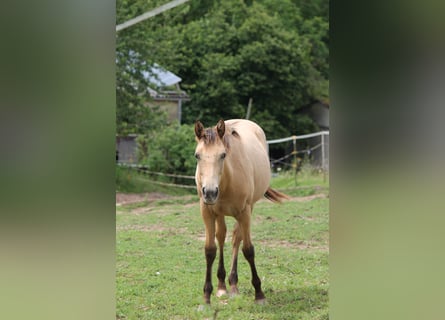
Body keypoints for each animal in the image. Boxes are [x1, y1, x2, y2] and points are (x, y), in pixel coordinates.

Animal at [194, 119, 288, 304]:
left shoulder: (244, 212)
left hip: (248, 208)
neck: (226, 181)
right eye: (197, 155)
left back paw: (233, 285)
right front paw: (206, 297)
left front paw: (259, 294)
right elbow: (210, 250)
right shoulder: (207, 211)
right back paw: (222, 286)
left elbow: (248, 250)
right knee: (222, 237)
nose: (209, 192)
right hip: (219, 213)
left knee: (236, 239)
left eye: (223, 155)